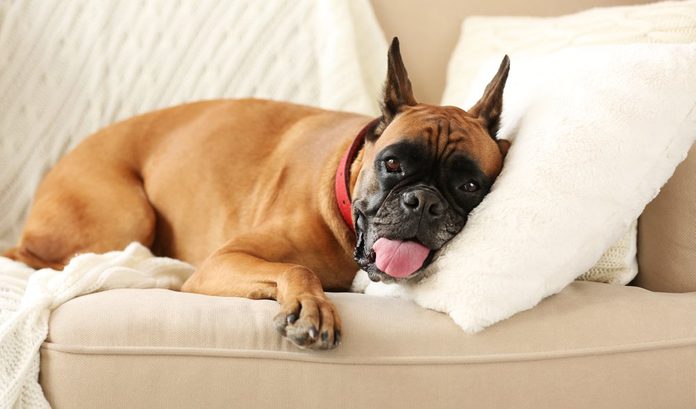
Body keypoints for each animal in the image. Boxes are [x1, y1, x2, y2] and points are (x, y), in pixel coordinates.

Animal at [5, 38, 512, 350]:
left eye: (469, 186)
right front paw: (312, 307)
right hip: (128, 214)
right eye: (393, 165)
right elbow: (297, 267)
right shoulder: (223, 261)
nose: (423, 201)